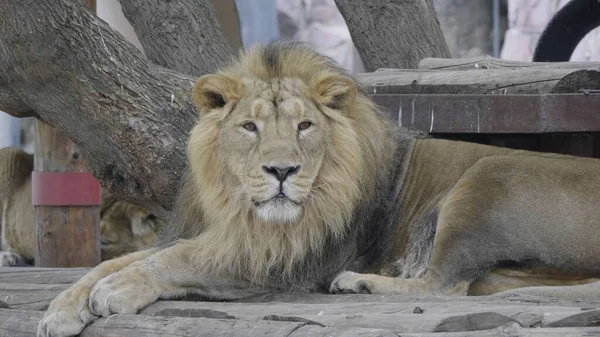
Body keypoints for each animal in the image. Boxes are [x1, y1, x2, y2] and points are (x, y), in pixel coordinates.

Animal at [36, 42, 600, 336]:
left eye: (305, 126)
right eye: (250, 127)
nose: (282, 171)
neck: (243, 210)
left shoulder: (281, 258)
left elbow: (173, 261)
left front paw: (116, 292)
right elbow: (112, 262)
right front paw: (62, 308)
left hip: (486, 175)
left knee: (442, 285)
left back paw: (359, 283)